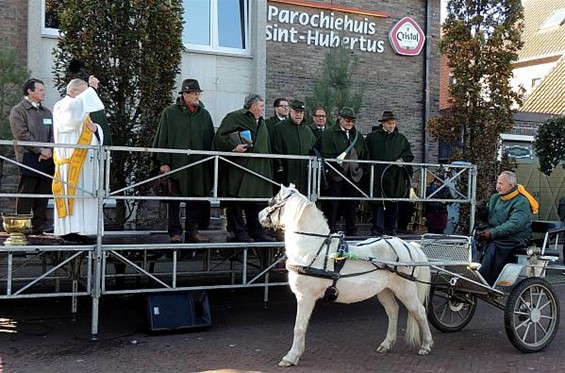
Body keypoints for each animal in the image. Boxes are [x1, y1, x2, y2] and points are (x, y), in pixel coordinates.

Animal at [258, 185, 434, 364]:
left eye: (272, 201)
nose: (259, 215)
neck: (313, 248)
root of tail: (408, 245)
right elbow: (302, 326)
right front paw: (297, 353)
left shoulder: (305, 297)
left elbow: (298, 327)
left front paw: (291, 357)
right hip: (384, 291)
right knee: (393, 311)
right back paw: (386, 344)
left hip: (406, 292)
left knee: (419, 312)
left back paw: (426, 345)